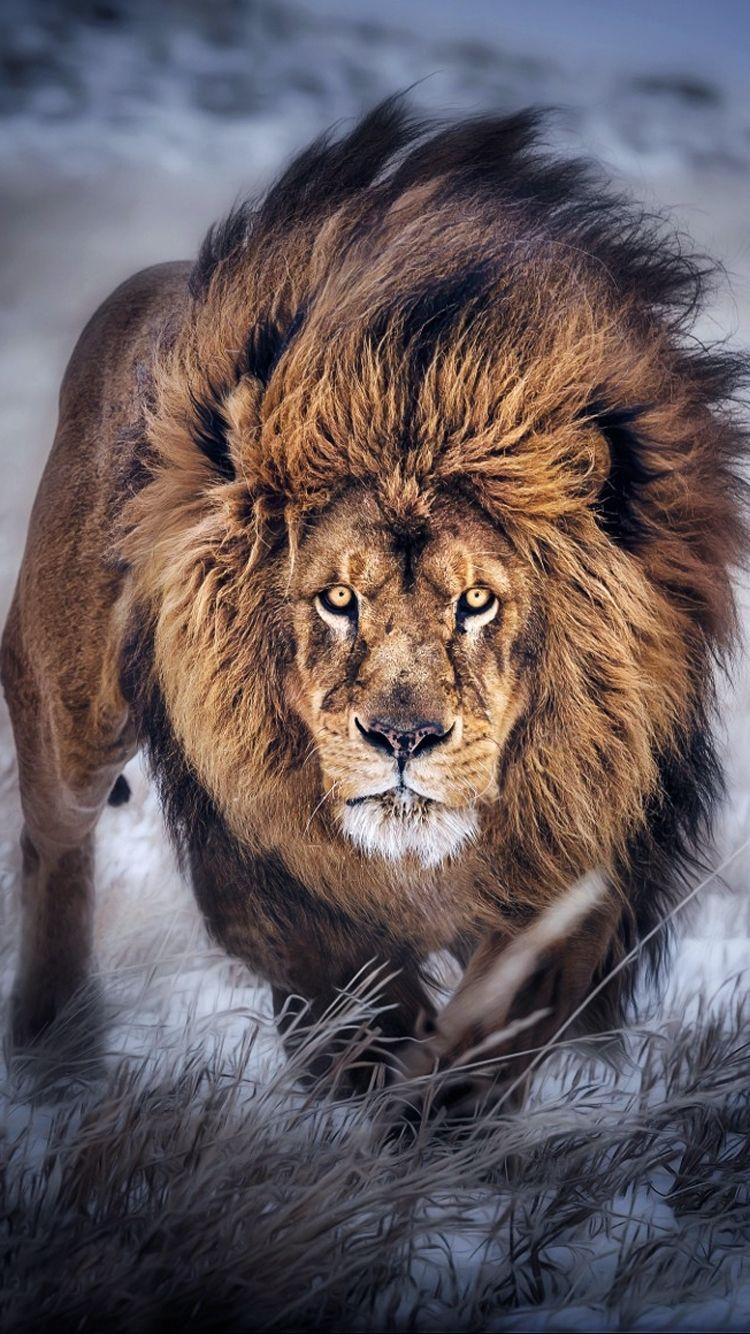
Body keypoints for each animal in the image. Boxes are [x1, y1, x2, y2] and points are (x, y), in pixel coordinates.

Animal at [2, 99, 747, 1104]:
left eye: (477, 600)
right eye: (336, 598)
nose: (402, 739)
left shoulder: (581, 866)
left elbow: (484, 1041)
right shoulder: (270, 876)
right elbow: (358, 1012)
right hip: (70, 708)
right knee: (55, 844)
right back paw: (54, 1052)